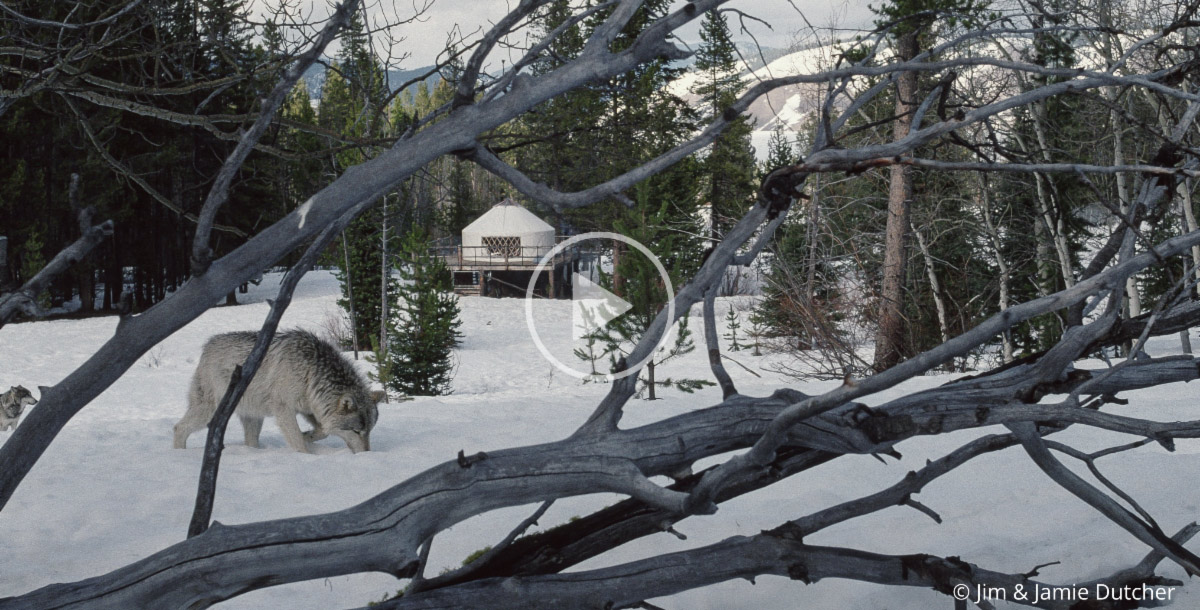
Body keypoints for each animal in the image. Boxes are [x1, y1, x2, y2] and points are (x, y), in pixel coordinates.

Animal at [173, 330, 384, 453]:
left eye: (369, 431)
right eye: (356, 431)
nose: (367, 454)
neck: (311, 372)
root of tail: (208, 345)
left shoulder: (311, 408)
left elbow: (322, 431)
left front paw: (308, 436)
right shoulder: (284, 409)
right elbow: (297, 441)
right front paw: (306, 454)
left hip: (254, 418)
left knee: (251, 441)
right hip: (208, 413)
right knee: (179, 428)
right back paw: (180, 455)